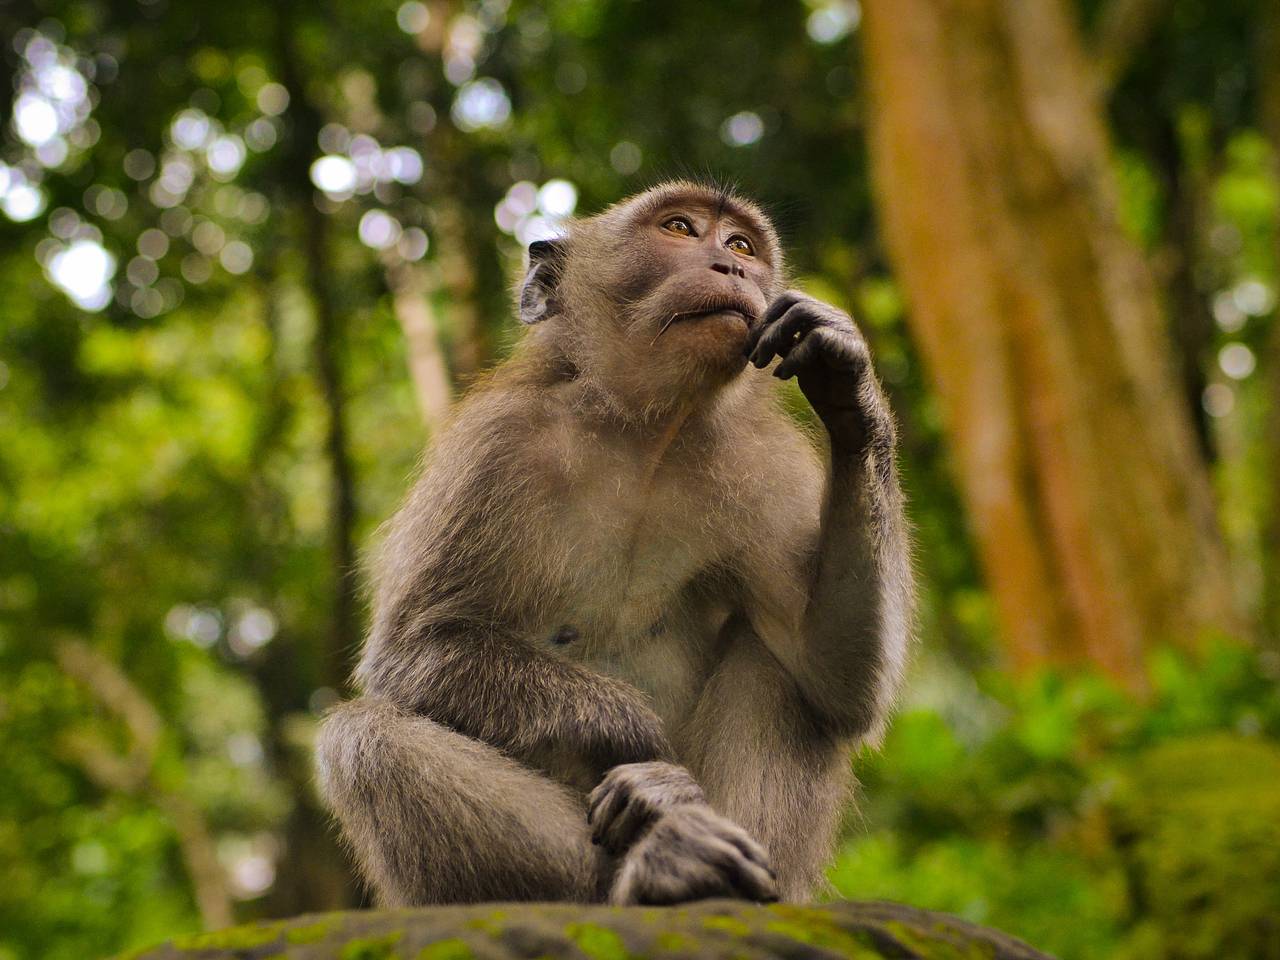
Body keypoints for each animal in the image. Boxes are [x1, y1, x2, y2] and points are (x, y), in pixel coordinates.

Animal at [314, 180, 916, 911]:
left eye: (742, 244)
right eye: (680, 229)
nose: (732, 267)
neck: (643, 434)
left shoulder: (764, 467)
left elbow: (835, 676)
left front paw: (846, 378)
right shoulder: (494, 448)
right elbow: (412, 651)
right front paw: (645, 747)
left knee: (778, 664)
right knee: (364, 738)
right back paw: (661, 863)